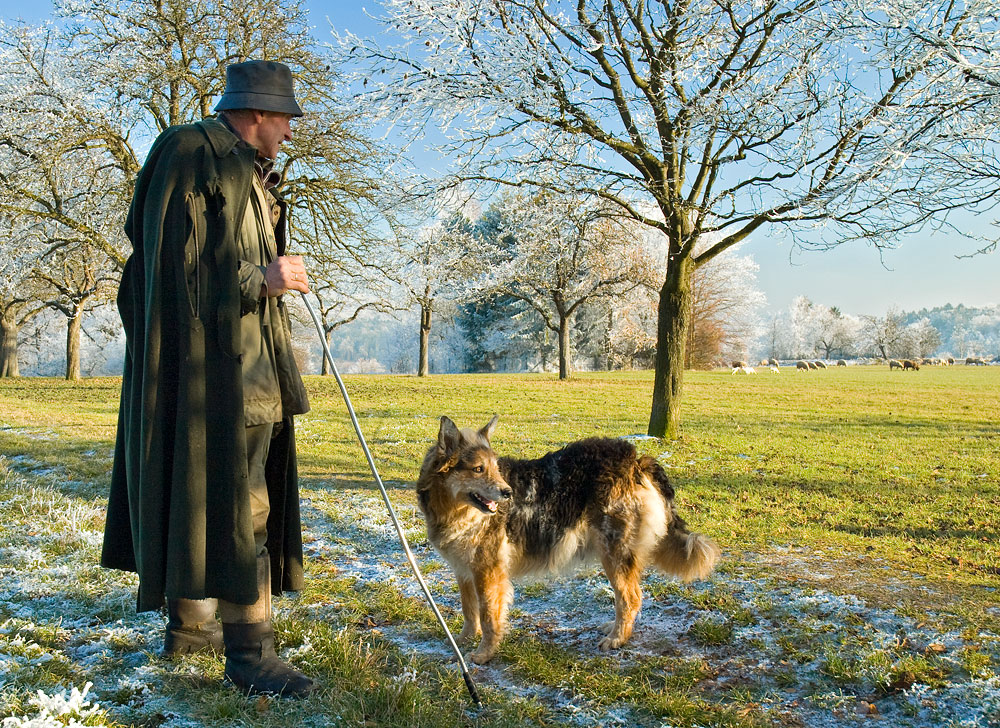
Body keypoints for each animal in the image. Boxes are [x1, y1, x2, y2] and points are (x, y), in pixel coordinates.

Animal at [414, 416, 720, 664]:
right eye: (478, 469)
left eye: (495, 469)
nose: (508, 492)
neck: (455, 509)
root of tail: (635, 459)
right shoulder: (464, 571)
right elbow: (469, 610)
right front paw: (463, 641)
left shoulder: (489, 572)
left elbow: (489, 617)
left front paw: (484, 654)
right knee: (626, 600)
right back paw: (614, 629)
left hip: (614, 552)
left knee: (631, 598)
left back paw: (618, 638)